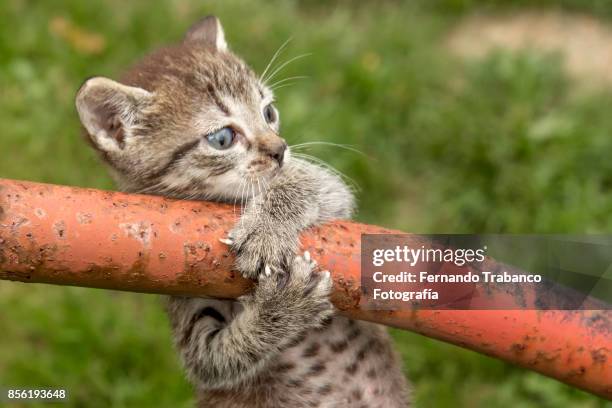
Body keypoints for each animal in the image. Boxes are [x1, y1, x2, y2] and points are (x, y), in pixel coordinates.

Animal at [76, 14, 412, 406]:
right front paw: (282, 307)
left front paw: (264, 231)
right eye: (222, 138)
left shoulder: (334, 194)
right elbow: (218, 358)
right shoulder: (184, 301)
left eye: (269, 112)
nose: (280, 149)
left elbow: (306, 182)